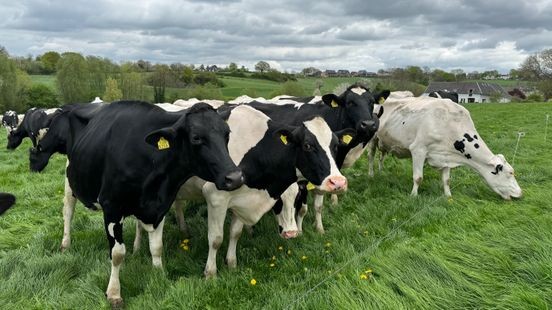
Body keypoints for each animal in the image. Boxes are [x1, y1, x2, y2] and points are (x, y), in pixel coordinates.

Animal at [64, 101, 242, 306]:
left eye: (227, 134)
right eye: (196, 138)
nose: (235, 178)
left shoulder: (160, 206)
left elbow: (157, 247)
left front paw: (159, 276)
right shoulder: (112, 207)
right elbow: (117, 254)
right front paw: (114, 293)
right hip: (69, 181)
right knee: (68, 211)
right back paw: (65, 243)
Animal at [238, 83, 392, 234]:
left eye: (371, 102)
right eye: (350, 102)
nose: (368, 125)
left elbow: (318, 204)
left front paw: (319, 228)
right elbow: (302, 207)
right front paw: (300, 230)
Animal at [368, 95, 520, 200]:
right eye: (510, 173)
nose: (520, 193)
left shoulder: (445, 155)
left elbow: (446, 180)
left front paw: (448, 196)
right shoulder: (418, 149)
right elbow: (418, 177)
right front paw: (413, 195)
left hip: (384, 142)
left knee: (381, 156)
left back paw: (381, 172)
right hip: (372, 140)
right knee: (371, 156)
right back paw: (371, 174)